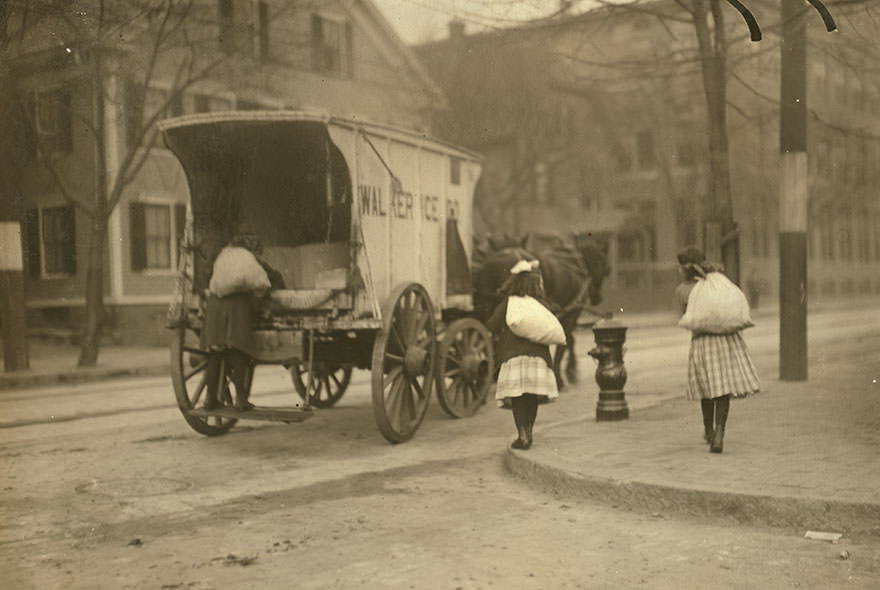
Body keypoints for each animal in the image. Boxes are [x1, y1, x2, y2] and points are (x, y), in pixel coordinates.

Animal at [474, 234, 612, 390]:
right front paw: (562, 377)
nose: (597, 298)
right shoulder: (571, 313)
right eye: (604, 266)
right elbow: (565, 344)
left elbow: (568, 341)